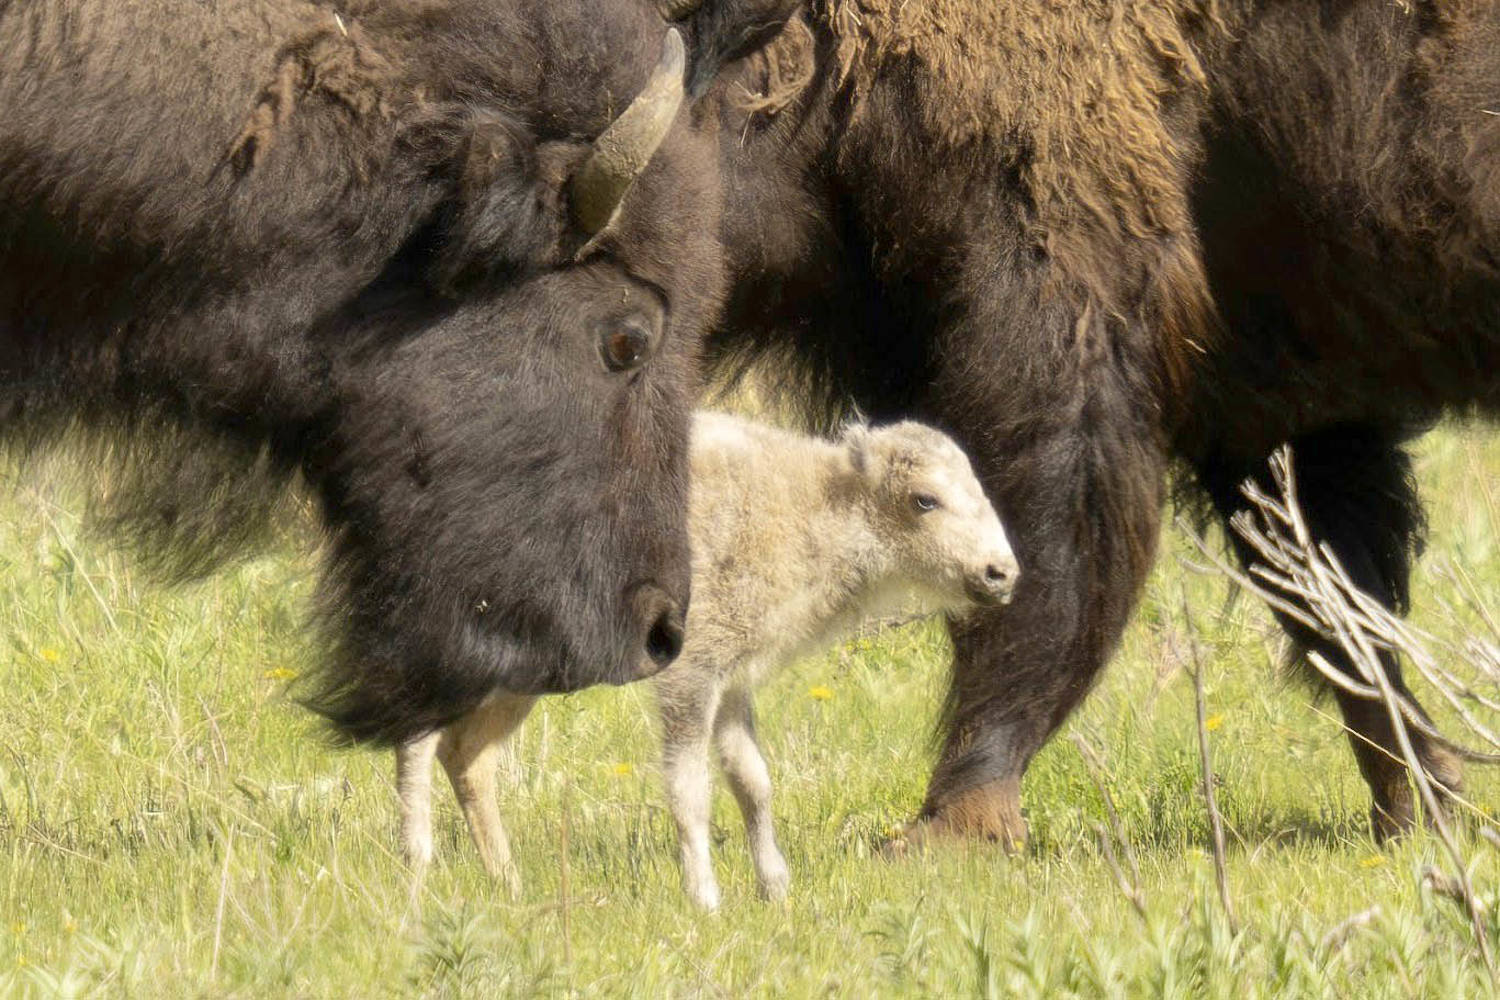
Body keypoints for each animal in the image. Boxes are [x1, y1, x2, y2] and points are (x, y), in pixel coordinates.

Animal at [396, 410, 1020, 911]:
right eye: (924, 499)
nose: (1001, 573)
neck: (816, 504)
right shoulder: (691, 679)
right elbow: (690, 789)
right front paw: (705, 899)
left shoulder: (733, 682)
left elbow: (752, 780)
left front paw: (776, 889)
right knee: (421, 740)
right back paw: (419, 866)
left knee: (467, 756)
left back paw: (509, 885)